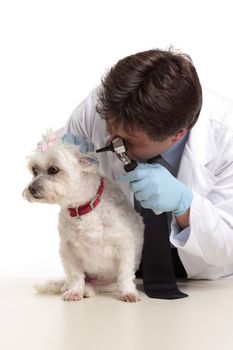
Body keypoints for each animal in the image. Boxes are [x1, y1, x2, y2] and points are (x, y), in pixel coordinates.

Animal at [23, 131, 144, 300]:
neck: (83, 208)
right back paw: (81, 289)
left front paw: (128, 292)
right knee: (74, 282)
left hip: (110, 283)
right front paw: (75, 291)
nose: (31, 188)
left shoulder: (125, 246)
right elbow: (76, 275)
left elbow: (125, 274)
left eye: (53, 169)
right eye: (34, 170)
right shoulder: (68, 250)